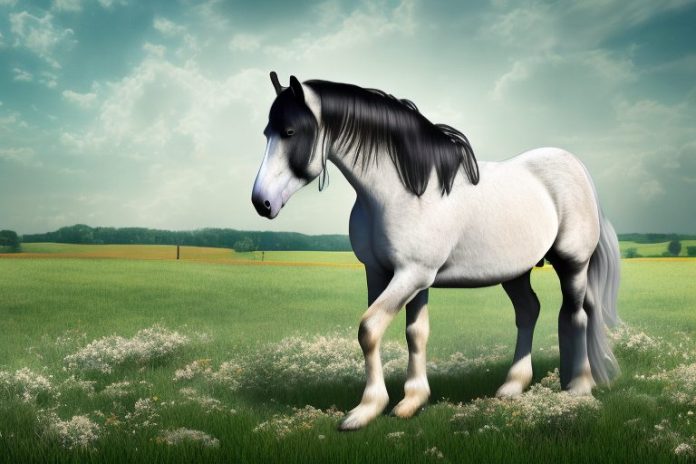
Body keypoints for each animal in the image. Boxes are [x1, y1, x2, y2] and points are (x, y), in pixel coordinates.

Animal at [251, 72, 620, 430]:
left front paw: (366, 410)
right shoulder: (387, 274)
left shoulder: (412, 274)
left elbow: (369, 330)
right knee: (529, 311)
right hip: (515, 271)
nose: (261, 202)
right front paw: (411, 402)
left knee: (577, 315)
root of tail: (577, 167)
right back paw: (513, 386)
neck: (404, 190)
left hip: (573, 263)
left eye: (290, 131)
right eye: (266, 132)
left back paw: (579, 386)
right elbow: (414, 333)